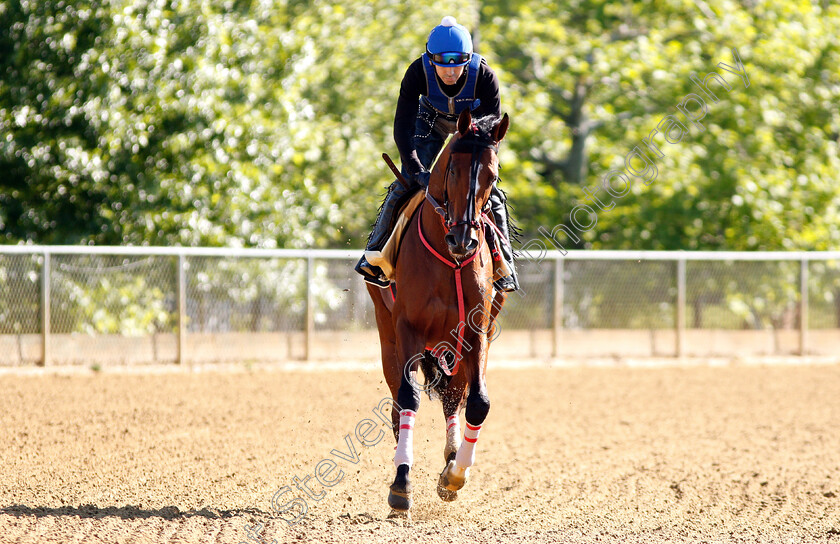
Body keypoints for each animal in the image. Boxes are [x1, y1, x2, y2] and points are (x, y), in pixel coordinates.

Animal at [364, 108, 508, 516]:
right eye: (453, 171)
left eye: (492, 176)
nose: (464, 240)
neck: (450, 261)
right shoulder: (408, 328)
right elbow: (408, 397)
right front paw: (401, 482)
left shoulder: (476, 332)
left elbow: (478, 403)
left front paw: (455, 475)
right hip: (387, 334)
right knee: (399, 403)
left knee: (452, 398)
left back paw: (451, 457)